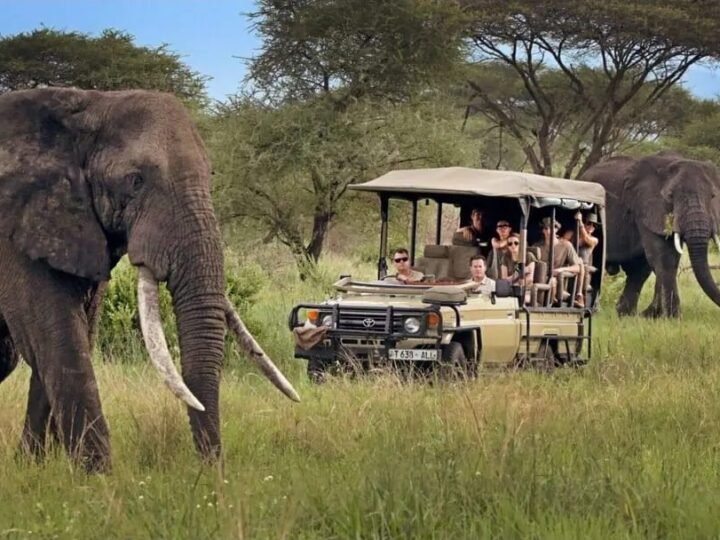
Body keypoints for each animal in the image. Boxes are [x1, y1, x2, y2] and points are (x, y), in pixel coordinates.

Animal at [0, 88, 300, 472]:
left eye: (211, 176)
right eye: (135, 181)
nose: (212, 473)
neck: (89, 104)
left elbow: (73, 334)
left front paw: (34, 469)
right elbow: (52, 336)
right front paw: (97, 479)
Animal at [581, 151, 720, 318]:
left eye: (712, 196)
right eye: (670, 196)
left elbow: (668, 259)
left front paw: (653, 316)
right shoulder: (645, 208)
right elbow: (664, 258)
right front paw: (673, 318)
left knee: (639, 270)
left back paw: (625, 314)